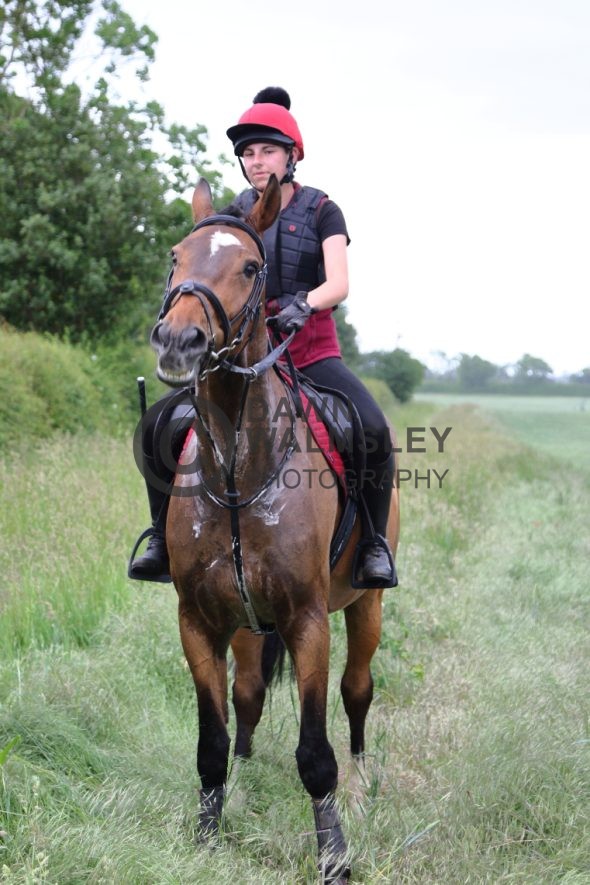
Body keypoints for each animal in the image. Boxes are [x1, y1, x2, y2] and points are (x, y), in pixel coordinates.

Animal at [149, 175, 400, 883]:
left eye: (249, 267)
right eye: (176, 257)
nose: (178, 341)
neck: (240, 470)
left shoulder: (307, 621)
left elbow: (316, 754)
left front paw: (335, 857)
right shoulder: (200, 620)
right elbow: (212, 737)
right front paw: (208, 836)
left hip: (365, 606)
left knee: (358, 691)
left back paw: (364, 787)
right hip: (244, 625)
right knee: (250, 694)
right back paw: (244, 777)